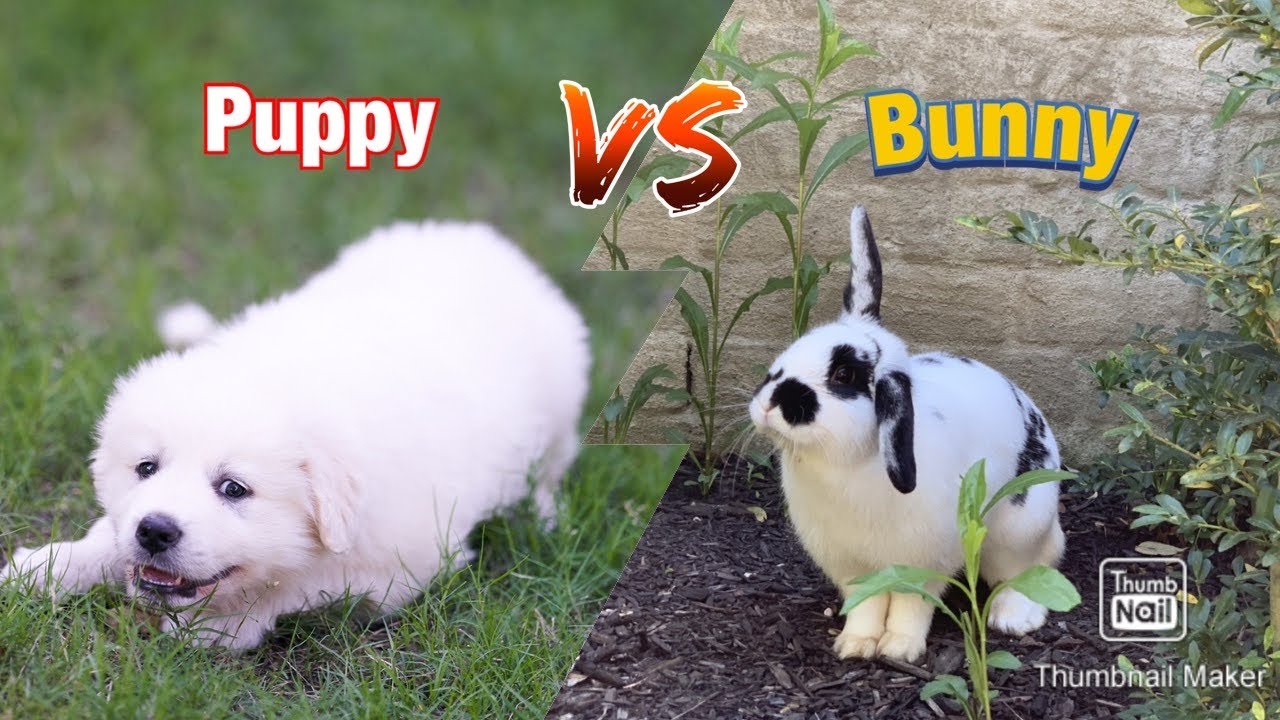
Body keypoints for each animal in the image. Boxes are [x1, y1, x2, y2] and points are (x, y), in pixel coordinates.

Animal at [749, 206, 1066, 663]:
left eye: (844, 375)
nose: (768, 404)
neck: (845, 464)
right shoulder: (853, 566)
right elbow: (865, 605)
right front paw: (855, 645)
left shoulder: (924, 560)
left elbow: (911, 606)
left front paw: (899, 649)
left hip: (1019, 525)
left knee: (1022, 570)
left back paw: (1013, 618)